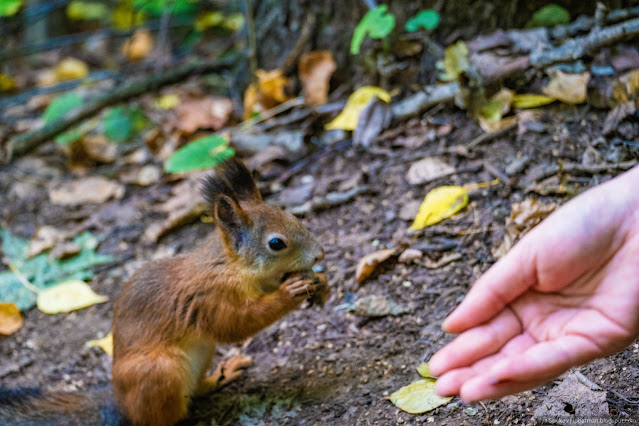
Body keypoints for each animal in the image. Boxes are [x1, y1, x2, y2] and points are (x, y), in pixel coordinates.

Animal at [0, 158, 330, 424]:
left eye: (293, 217)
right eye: (276, 243)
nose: (320, 254)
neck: (231, 267)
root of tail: (119, 403)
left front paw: (322, 286)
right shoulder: (210, 297)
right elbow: (235, 324)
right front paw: (290, 292)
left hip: (202, 353)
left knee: (195, 390)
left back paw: (221, 376)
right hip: (159, 371)